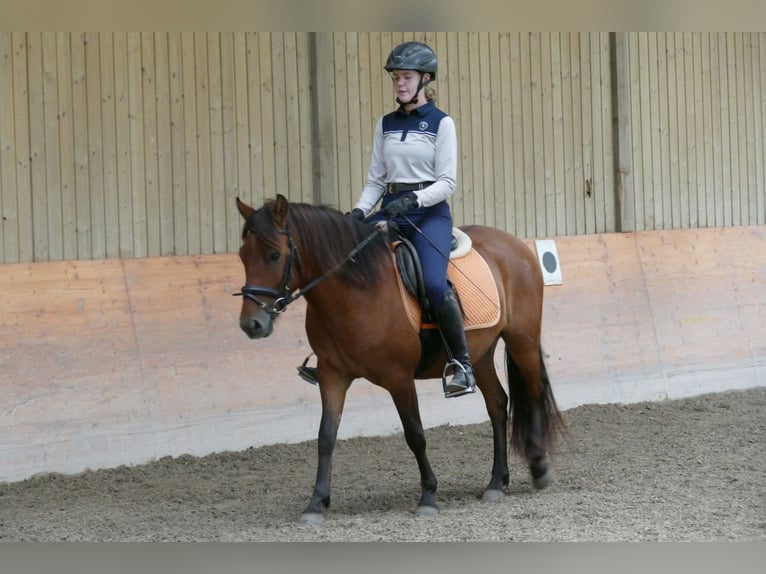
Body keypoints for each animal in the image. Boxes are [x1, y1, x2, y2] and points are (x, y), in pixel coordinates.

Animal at [237, 197, 568, 528]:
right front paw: (316, 503)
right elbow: (326, 436)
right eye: (242, 255)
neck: (356, 290)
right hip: (480, 352)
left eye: (274, 254)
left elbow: (415, 434)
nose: (251, 324)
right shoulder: (332, 375)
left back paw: (539, 467)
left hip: (522, 339)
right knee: (498, 404)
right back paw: (497, 482)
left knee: (534, 392)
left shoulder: (399, 378)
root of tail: (516, 244)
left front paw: (429, 496)